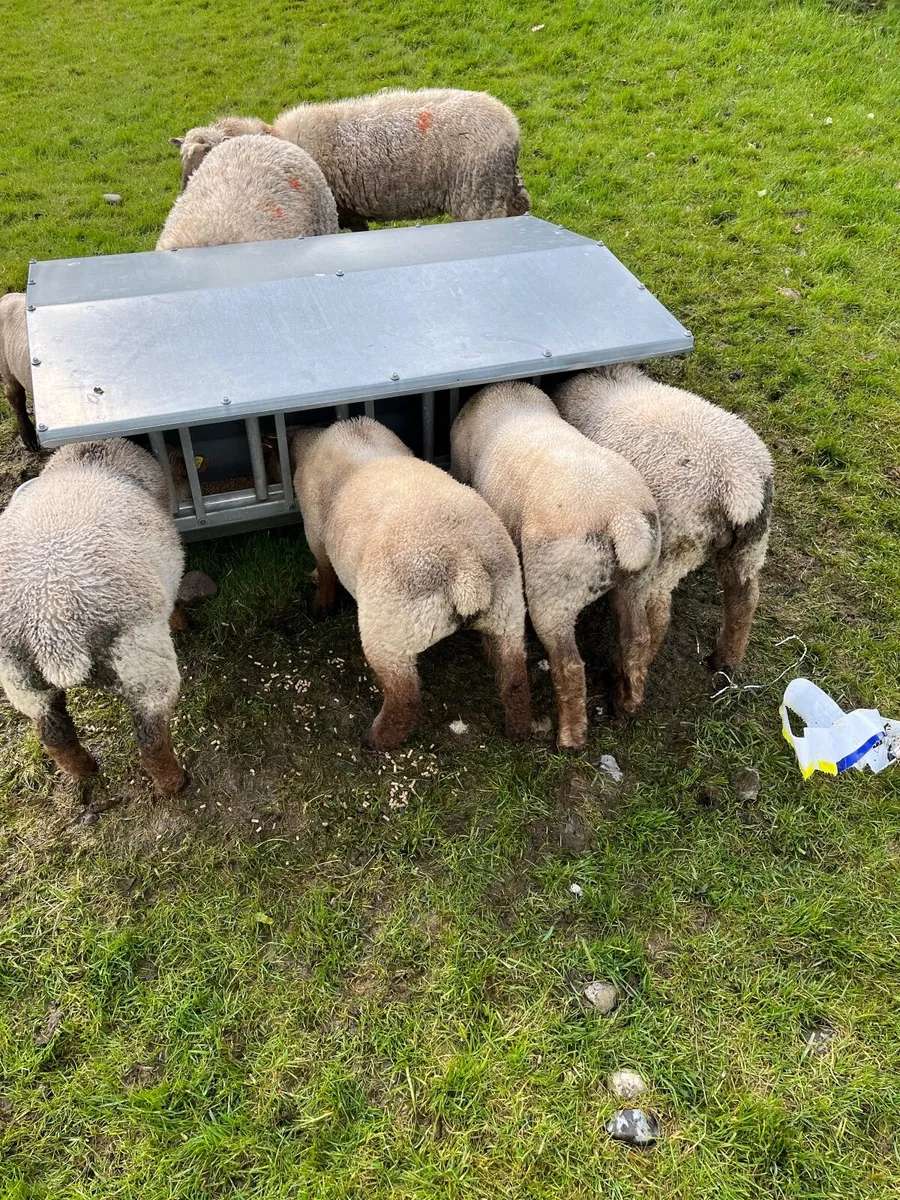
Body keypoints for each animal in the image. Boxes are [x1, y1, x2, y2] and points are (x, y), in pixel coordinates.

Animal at [0, 438, 188, 792]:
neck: (89, 454)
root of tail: (52, 630)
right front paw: (182, 621)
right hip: (143, 663)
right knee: (151, 736)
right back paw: (175, 782)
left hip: (21, 681)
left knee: (54, 733)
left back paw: (84, 770)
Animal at [171, 88, 529, 229]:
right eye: (183, 162)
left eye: (207, 156)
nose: (185, 196)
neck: (277, 137)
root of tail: (511, 125)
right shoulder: (349, 210)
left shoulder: (341, 210)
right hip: (502, 186)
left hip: (477, 199)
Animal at [291, 417, 531, 750]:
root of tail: (465, 565)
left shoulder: (314, 532)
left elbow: (325, 571)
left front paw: (321, 607)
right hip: (508, 611)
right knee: (515, 679)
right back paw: (518, 730)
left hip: (390, 631)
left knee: (404, 699)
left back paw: (377, 739)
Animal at [451, 381, 661, 749]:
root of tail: (622, 518)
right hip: (636, 581)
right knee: (636, 640)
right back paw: (626, 703)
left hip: (554, 589)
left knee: (570, 666)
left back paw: (571, 737)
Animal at [554, 364, 774, 679]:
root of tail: (737, 484)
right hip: (751, 544)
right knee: (745, 598)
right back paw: (724, 660)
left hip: (674, 545)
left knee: (657, 616)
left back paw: (627, 670)